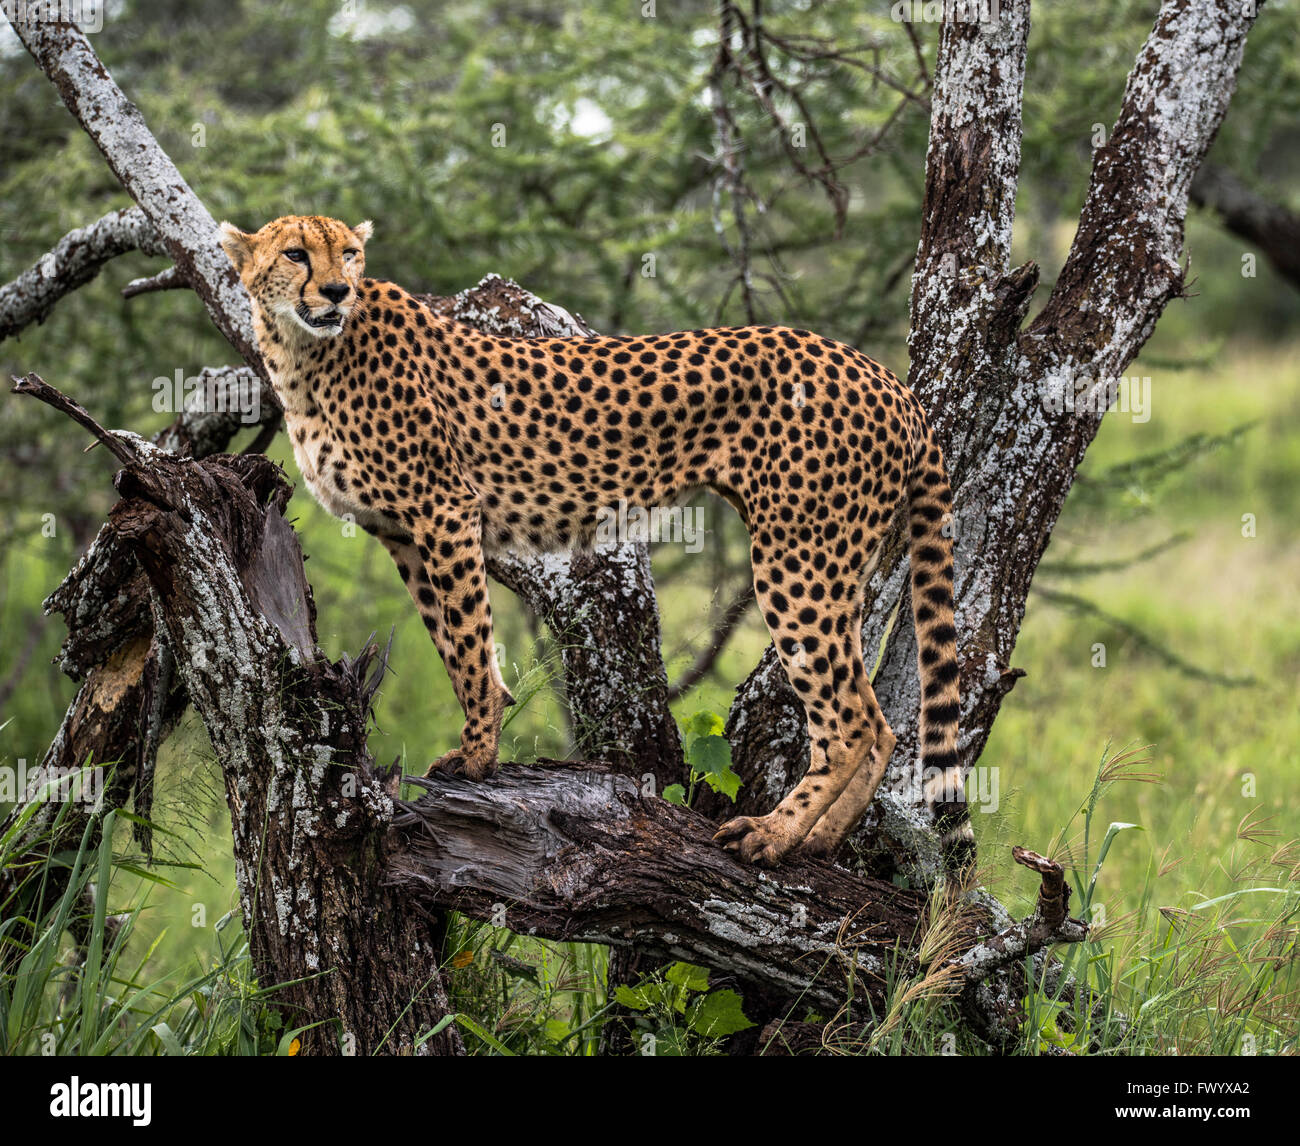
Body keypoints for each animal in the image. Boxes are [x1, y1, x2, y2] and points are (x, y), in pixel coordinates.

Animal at [218, 211, 972, 867]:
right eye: (296, 254)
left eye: (348, 254)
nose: (336, 290)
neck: (306, 351)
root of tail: (883, 374)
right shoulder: (401, 532)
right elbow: (454, 641)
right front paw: (485, 727)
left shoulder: (443, 510)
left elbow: (467, 641)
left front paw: (478, 756)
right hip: (839, 561)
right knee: (882, 725)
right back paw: (819, 840)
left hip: (799, 558)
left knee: (852, 723)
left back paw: (774, 835)